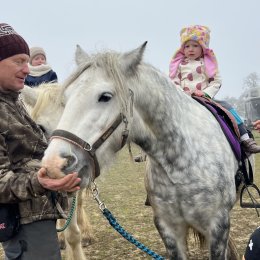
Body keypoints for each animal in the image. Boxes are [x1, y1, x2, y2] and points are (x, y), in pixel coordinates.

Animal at [40, 43, 240, 258]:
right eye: (66, 99)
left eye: (105, 96)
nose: (53, 165)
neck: (181, 162)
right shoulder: (168, 228)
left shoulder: (217, 226)